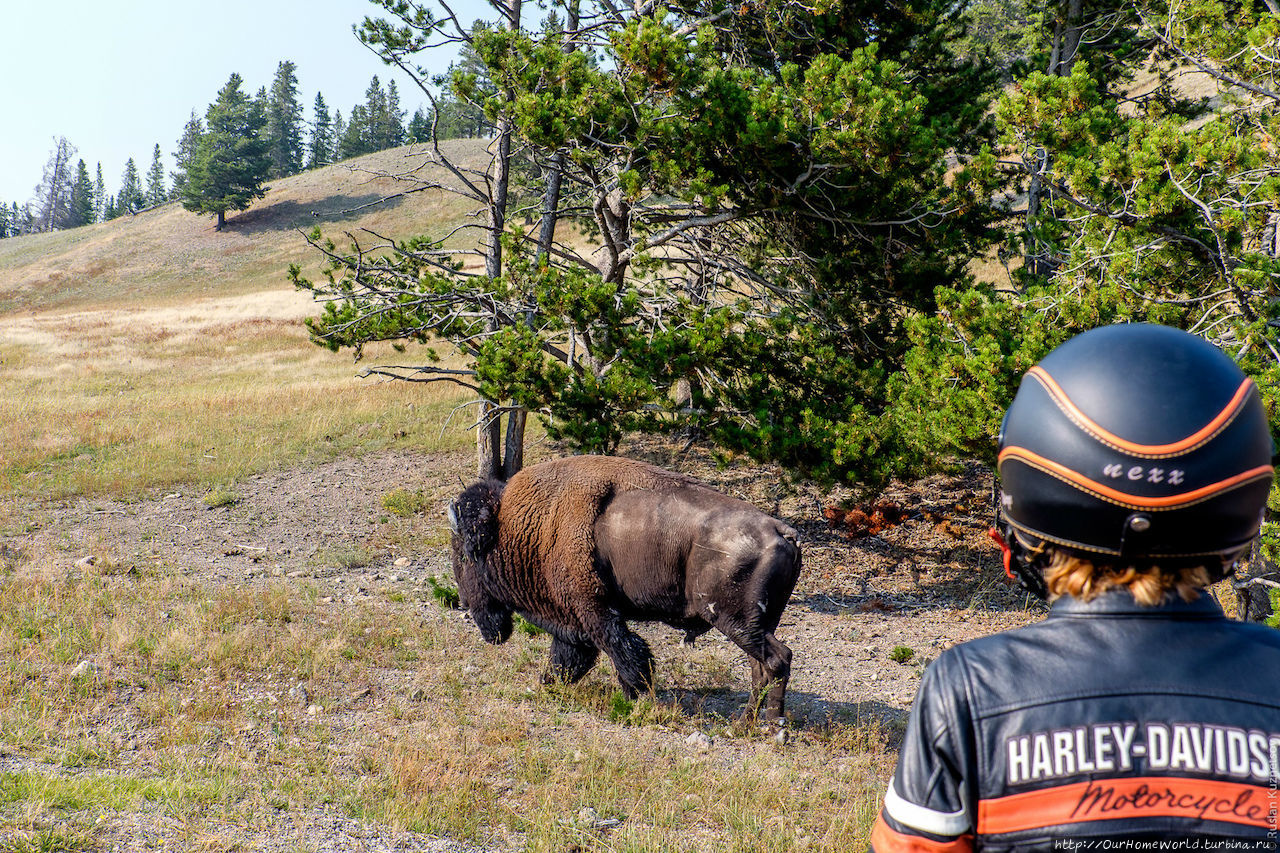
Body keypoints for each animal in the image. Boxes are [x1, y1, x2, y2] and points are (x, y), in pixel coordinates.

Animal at [448, 455, 798, 722]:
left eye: (464, 555)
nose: (464, 601)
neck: (522, 525)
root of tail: (781, 530)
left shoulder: (596, 613)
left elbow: (626, 655)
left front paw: (637, 698)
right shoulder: (573, 623)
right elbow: (568, 659)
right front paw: (549, 685)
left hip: (736, 622)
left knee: (776, 660)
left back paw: (770, 725)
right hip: (754, 626)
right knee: (760, 670)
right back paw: (748, 723)